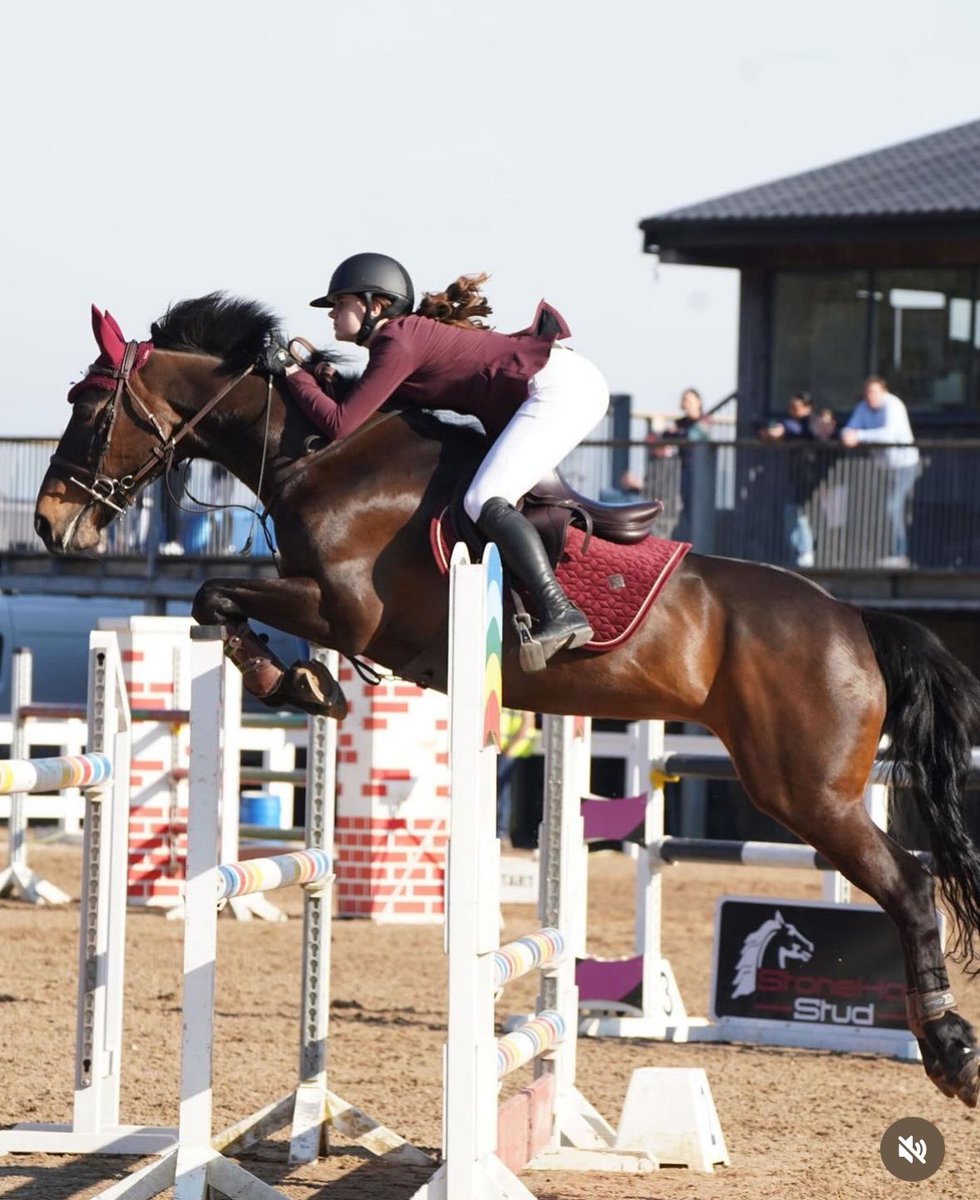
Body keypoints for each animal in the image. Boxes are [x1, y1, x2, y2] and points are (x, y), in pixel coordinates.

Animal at [34, 290, 978, 1104]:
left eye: (88, 406)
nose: (48, 524)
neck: (326, 457)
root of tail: (853, 618)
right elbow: (218, 606)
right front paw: (299, 680)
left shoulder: (345, 609)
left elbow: (216, 592)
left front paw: (289, 676)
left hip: (805, 790)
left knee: (910, 884)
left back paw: (947, 1050)